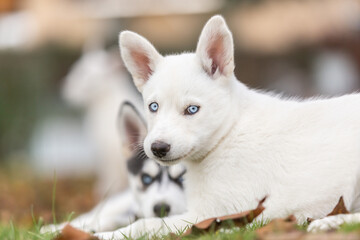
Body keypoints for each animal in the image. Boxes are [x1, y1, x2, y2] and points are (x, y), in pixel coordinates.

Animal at [40, 102, 186, 233]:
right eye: (146, 179)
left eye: (183, 179)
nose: (161, 208)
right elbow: (110, 220)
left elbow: (139, 225)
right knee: (92, 215)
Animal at [95, 15, 360, 239]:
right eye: (153, 107)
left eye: (192, 110)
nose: (158, 148)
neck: (227, 135)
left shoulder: (212, 213)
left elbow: (148, 224)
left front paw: (107, 235)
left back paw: (327, 222)